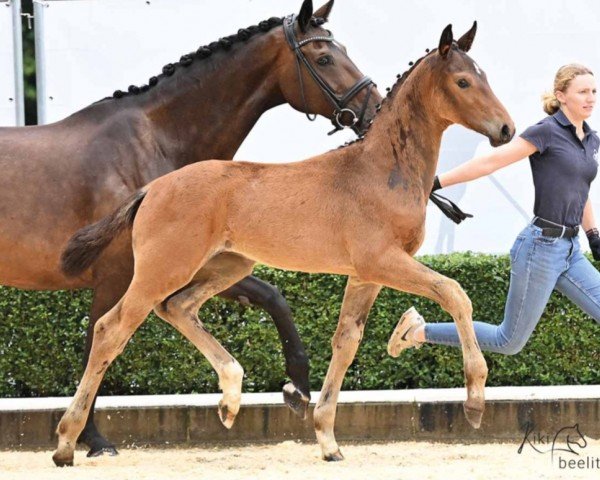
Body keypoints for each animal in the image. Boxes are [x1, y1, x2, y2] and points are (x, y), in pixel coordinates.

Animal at [0, 0, 380, 458]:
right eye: (324, 57)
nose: (375, 109)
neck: (153, 142)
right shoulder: (124, 275)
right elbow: (100, 340)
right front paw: (91, 439)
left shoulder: (189, 266)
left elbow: (272, 295)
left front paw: (296, 386)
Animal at [55, 22, 516, 464]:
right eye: (462, 82)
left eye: (485, 77)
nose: (507, 129)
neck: (382, 168)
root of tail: (152, 188)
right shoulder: (383, 261)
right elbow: (454, 292)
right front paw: (475, 400)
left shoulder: (365, 276)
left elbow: (345, 342)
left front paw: (328, 441)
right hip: (162, 269)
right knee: (111, 328)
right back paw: (66, 442)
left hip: (228, 265)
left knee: (178, 307)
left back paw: (230, 398)